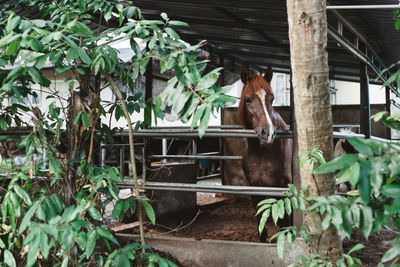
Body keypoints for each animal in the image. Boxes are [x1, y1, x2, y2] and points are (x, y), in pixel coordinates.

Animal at [238, 66, 294, 242]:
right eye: (248, 99)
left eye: (272, 99)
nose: (268, 133)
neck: (262, 154)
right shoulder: (255, 190)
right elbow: (261, 229)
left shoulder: (284, 192)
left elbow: (285, 226)